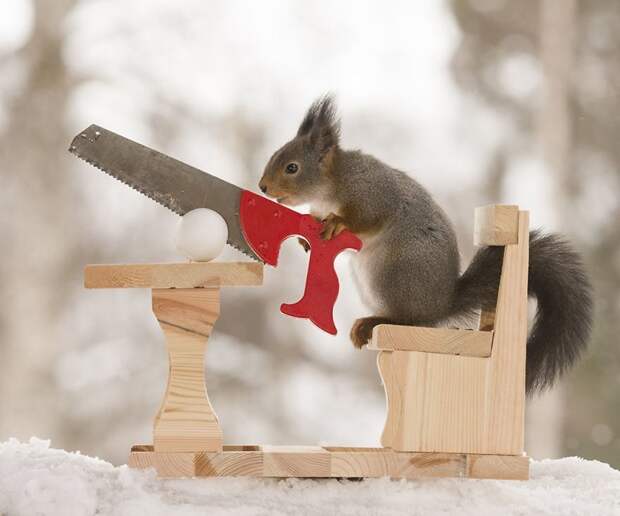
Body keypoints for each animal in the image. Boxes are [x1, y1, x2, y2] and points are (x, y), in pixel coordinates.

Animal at [256, 97, 592, 394]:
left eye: (292, 168)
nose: (263, 187)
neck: (334, 182)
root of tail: (441, 304)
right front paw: (305, 238)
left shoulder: (373, 193)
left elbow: (366, 219)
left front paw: (338, 223)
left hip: (394, 274)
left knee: (408, 319)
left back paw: (374, 322)